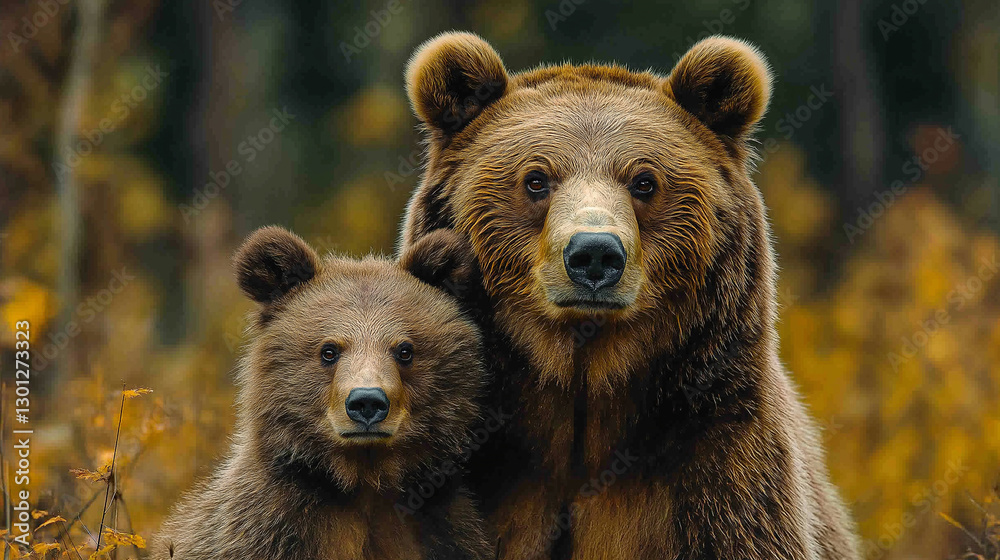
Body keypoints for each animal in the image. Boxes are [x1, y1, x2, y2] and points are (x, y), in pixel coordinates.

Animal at [152, 226, 492, 560]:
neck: (365, 482)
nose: (367, 402)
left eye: (405, 350)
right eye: (329, 351)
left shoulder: (443, 531)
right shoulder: (266, 530)